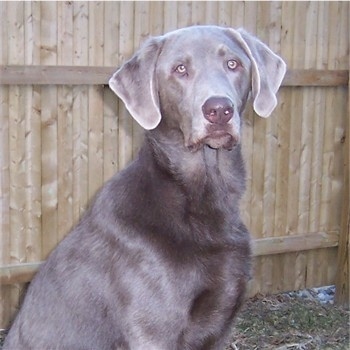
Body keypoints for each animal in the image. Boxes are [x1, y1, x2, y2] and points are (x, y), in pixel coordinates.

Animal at [2, 26, 286, 348]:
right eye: (180, 69)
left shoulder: (220, 326)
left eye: (233, 64)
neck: (204, 199)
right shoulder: (154, 329)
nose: (219, 109)